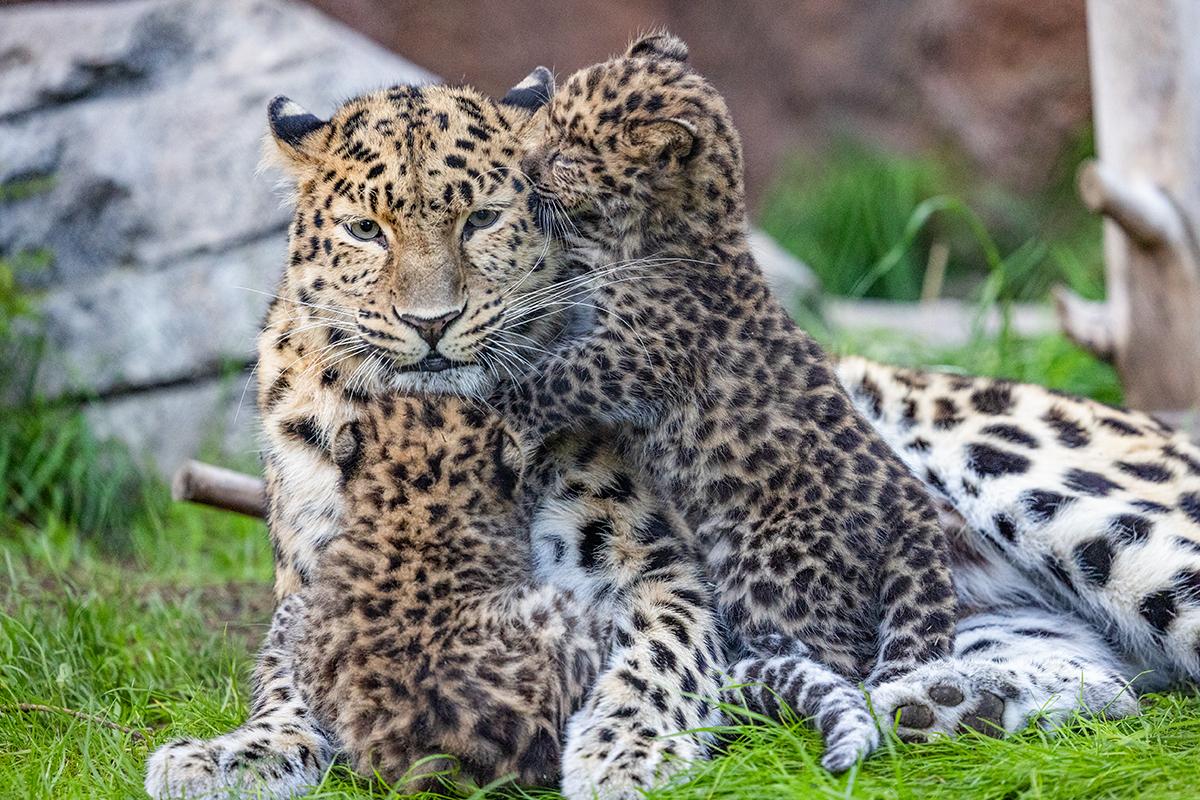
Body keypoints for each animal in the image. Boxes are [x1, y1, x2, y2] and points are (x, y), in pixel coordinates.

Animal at [145, 74, 723, 800]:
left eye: (481, 219)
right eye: (366, 230)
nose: (431, 322)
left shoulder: (656, 565)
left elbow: (663, 654)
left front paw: (625, 752)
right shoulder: (314, 589)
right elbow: (285, 682)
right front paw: (231, 755)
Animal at [497, 31, 958, 770]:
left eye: (567, 153)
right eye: (548, 123)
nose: (523, 163)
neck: (677, 231)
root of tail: (911, 512)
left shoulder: (632, 358)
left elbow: (554, 375)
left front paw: (493, 387)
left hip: (770, 575)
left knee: (838, 663)